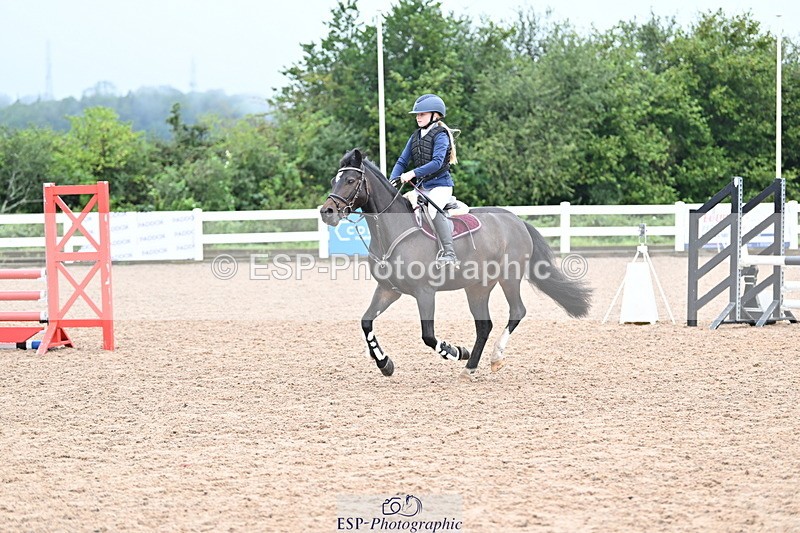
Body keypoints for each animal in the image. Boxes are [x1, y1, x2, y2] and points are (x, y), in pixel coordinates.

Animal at [320, 149, 592, 380]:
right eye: (334, 180)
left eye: (350, 181)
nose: (327, 211)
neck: (393, 231)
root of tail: (517, 221)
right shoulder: (388, 290)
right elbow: (366, 323)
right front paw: (384, 363)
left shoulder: (425, 293)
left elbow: (428, 336)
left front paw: (455, 351)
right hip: (477, 288)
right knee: (484, 326)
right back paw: (470, 368)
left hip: (509, 278)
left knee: (517, 312)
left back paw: (493, 358)